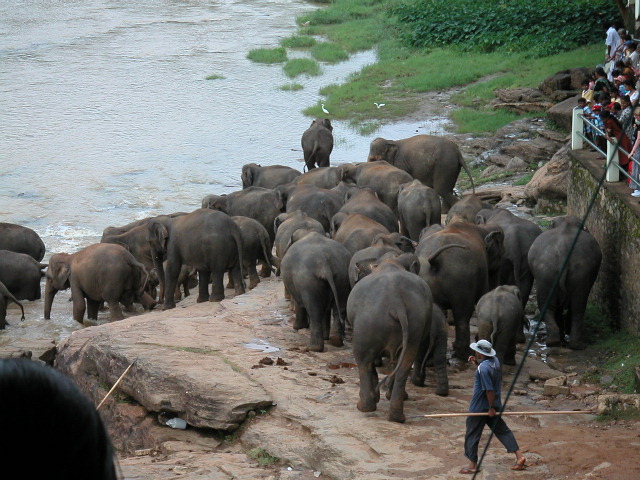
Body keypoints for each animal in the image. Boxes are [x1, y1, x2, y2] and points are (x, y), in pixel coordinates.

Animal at [347, 254, 438, 423]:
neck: (391, 261)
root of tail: (397, 303)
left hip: (367, 324)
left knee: (363, 360)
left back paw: (364, 407)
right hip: (414, 326)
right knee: (404, 364)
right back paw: (396, 416)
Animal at [416, 222, 504, 359]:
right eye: (501, 255)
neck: (482, 228)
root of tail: (434, 260)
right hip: (462, 279)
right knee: (463, 314)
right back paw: (464, 354)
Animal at [528, 215, 602, 350]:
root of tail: (563, 251)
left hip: (548, 273)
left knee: (556, 305)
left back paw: (558, 342)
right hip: (572, 273)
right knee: (577, 305)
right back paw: (570, 343)